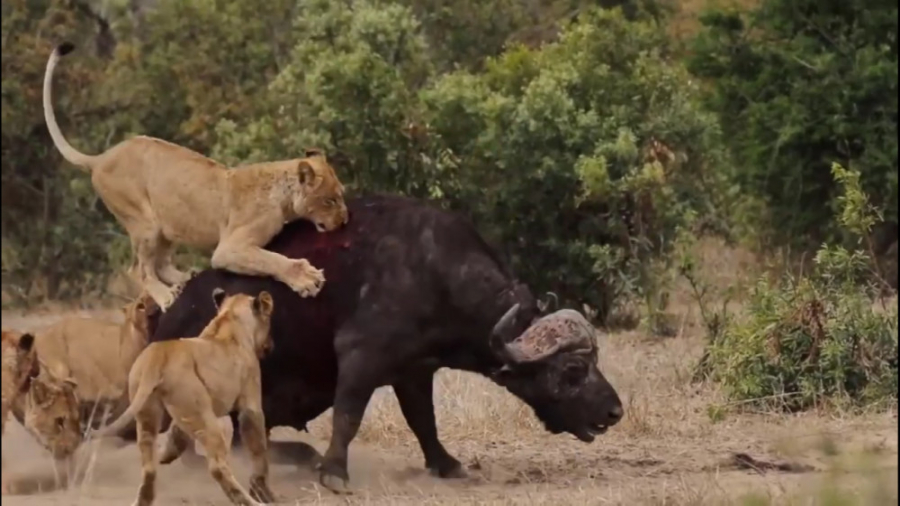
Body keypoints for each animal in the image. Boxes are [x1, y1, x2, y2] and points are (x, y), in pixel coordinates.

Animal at [44, 42, 350, 312]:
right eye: (331, 201)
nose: (345, 220)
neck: (281, 193)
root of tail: (101, 157)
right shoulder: (229, 247)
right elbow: (270, 259)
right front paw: (306, 278)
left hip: (166, 223)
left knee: (161, 263)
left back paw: (184, 279)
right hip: (144, 223)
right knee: (138, 270)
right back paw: (167, 296)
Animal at [92, 288, 276, 506]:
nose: (271, 344)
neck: (229, 317)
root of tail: (159, 354)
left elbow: (176, 433)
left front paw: (167, 454)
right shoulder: (251, 402)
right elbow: (258, 447)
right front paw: (263, 490)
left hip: (150, 412)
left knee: (148, 466)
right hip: (205, 419)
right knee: (217, 466)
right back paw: (250, 502)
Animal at [149, 193, 624, 490]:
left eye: (595, 360)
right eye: (573, 369)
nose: (614, 411)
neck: (433, 273)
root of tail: (168, 318)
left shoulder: (414, 371)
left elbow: (423, 421)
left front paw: (447, 465)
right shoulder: (361, 357)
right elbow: (348, 415)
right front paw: (334, 472)